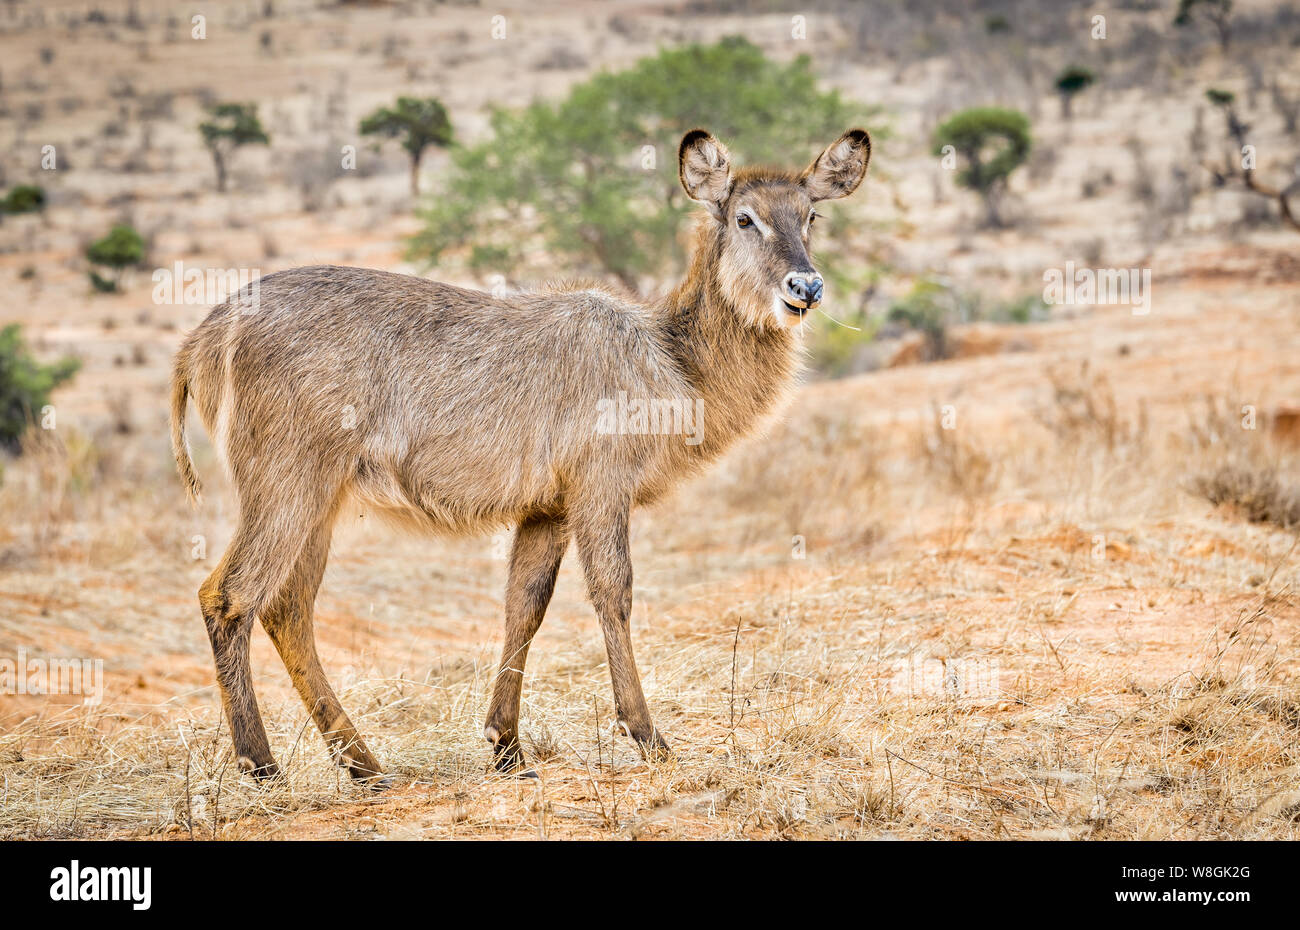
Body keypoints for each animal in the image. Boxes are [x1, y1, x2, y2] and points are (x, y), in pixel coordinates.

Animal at [167, 127, 868, 780]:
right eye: (745, 218)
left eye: (811, 217)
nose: (806, 285)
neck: (672, 359)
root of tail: (210, 329)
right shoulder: (600, 484)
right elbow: (613, 592)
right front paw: (648, 736)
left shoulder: (547, 507)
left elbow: (524, 604)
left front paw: (504, 744)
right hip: (286, 484)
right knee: (227, 597)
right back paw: (261, 763)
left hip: (321, 500)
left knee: (287, 608)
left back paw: (365, 763)